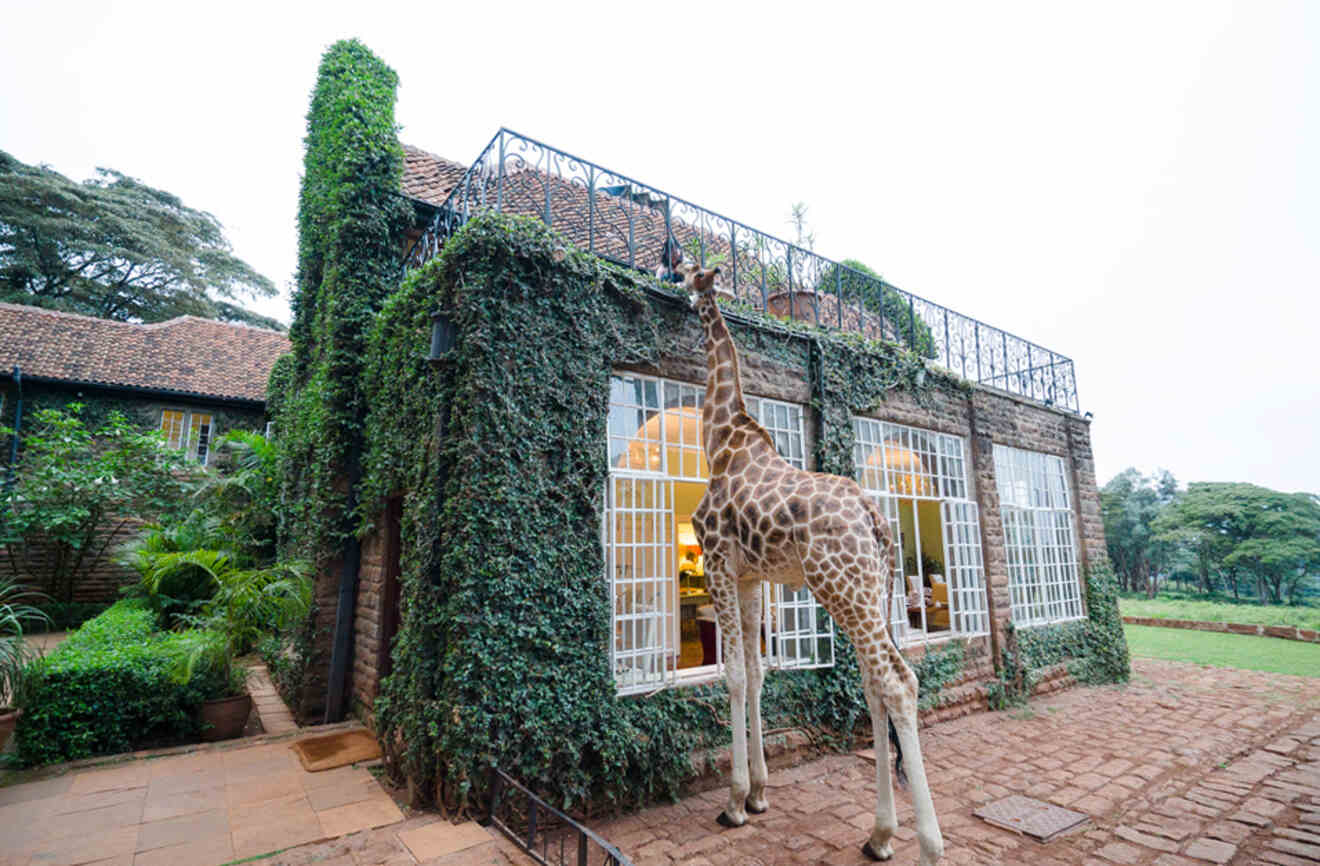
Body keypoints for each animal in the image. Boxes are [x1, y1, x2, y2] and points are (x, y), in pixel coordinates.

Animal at [675, 265, 945, 866]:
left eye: (684, 272)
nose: (668, 274)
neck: (720, 440)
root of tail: (876, 521)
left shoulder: (718, 562)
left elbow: (732, 674)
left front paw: (733, 803)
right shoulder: (750, 576)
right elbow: (756, 674)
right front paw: (759, 793)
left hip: (840, 586)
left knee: (896, 682)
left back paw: (928, 845)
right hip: (870, 591)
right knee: (877, 683)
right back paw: (879, 836)